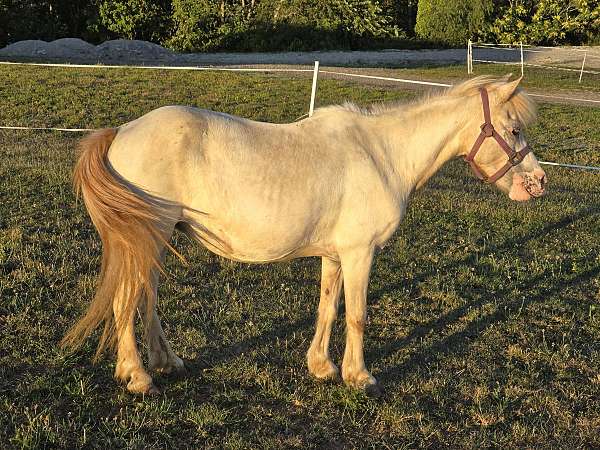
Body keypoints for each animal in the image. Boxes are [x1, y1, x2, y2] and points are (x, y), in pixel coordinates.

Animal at [63, 75, 548, 396]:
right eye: (514, 129)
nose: (539, 183)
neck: (382, 155)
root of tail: (120, 132)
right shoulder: (360, 253)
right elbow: (357, 314)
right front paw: (359, 376)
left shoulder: (335, 255)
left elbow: (328, 308)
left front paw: (321, 366)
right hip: (148, 239)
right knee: (127, 301)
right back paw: (138, 375)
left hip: (155, 243)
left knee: (145, 300)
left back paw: (166, 363)